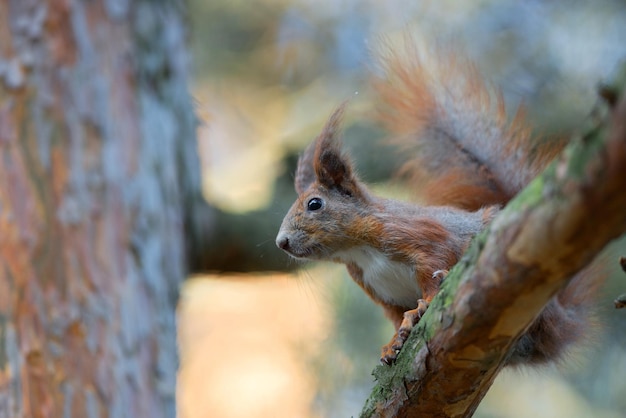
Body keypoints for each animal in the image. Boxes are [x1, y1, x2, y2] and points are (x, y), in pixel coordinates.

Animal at [276, 45, 596, 366]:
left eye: (314, 204)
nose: (282, 242)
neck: (358, 251)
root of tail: (559, 320)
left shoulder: (416, 234)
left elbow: (436, 261)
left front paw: (424, 305)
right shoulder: (384, 294)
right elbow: (395, 319)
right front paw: (391, 344)